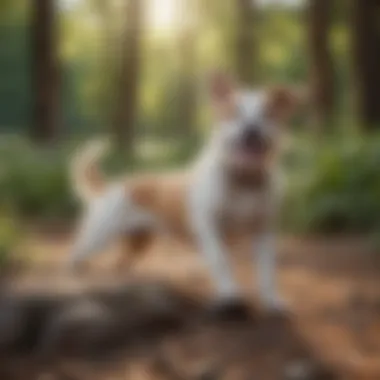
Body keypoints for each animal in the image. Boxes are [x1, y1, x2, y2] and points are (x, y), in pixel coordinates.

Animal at [67, 72, 302, 310]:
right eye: (233, 113)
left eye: (268, 114)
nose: (251, 130)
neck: (245, 179)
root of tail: (113, 187)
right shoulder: (209, 226)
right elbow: (221, 260)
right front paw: (229, 294)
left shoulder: (264, 232)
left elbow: (267, 271)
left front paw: (272, 301)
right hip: (99, 235)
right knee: (76, 255)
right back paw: (75, 273)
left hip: (138, 240)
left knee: (120, 263)